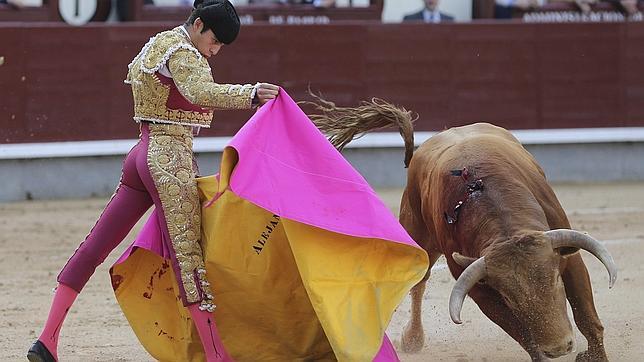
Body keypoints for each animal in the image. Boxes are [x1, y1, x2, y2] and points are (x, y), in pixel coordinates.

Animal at [306, 97, 620, 362]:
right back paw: (412, 339)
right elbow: (525, 337)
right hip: (418, 235)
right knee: (418, 281)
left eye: (555, 280)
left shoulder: (568, 256)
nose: (558, 348)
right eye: (510, 299)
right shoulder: (481, 290)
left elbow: (587, 318)